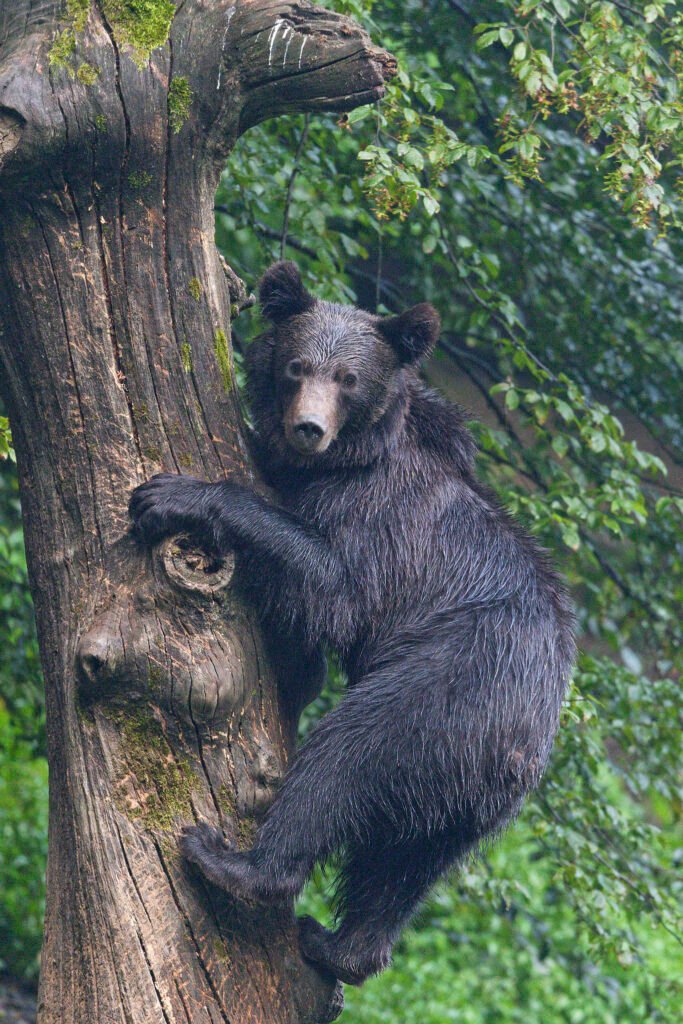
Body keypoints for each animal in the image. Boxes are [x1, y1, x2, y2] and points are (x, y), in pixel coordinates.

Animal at [129, 260, 576, 986]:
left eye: (347, 379)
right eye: (296, 366)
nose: (308, 426)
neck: (348, 458)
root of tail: (524, 742)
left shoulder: (379, 525)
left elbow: (330, 588)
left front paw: (172, 495)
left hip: (440, 695)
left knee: (344, 761)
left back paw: (234, 863)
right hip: (467, 799)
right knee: (399, 867)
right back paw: (341, 946)